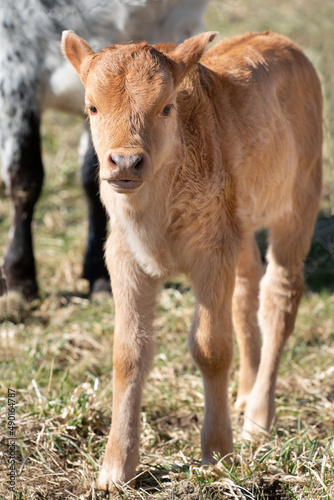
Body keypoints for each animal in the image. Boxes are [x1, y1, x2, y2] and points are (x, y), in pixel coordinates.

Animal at [62, 29, 320, 490]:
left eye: (166, 107)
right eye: (91, 107)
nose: (125, 161)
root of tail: (282, 42)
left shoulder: (212, 254)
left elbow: (210, 347)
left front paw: (217, 453)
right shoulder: (125, 259)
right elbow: (128, 353)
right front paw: (115, 468)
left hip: (299, 204)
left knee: (280, 297)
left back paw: (258, 418)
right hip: (242, 228)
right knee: (246, 292)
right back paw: (244, 396)